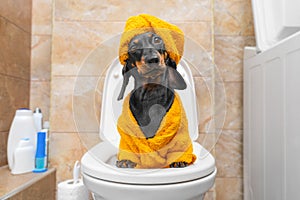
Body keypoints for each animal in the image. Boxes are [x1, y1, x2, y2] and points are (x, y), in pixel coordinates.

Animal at [116, 31, 189, 169]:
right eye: (133, 48)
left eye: (157, 39)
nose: (152, 59)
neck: (151, 93)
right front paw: (126, 160)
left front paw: (179, 160)